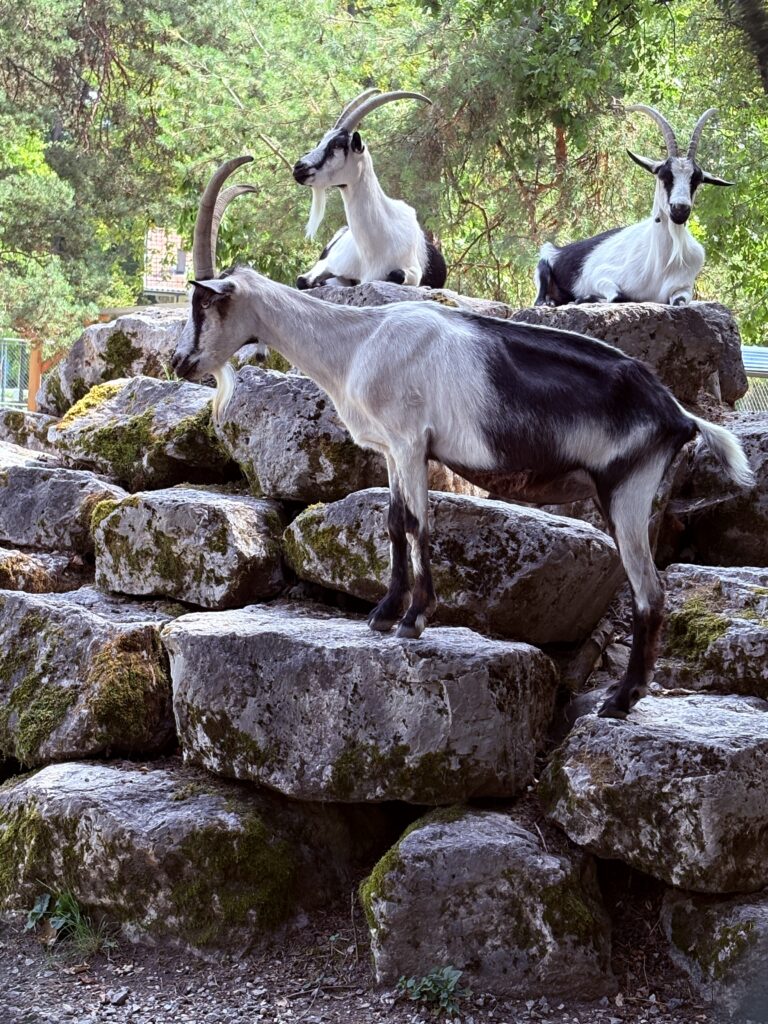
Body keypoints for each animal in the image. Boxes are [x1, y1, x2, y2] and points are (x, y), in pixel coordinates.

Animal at [171, 158, 753, 720]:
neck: (358, 341)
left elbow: (417, 523)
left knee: (650, 594)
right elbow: (392, 521)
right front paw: (383, 614)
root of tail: (677, 413)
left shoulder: (411, 442)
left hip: (627, 492)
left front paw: (414, 619)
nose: (179, 362)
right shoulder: (393, 451)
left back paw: (619, 701)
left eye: (204, 304)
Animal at [292, 88, 447, 290]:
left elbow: (396, 274)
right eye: (321, 142)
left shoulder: (412, 271)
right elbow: (302, 280)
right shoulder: (328, 263)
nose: (298, 168)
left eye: (338, 144)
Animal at [534, 106, 734, 307]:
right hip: (544, 260)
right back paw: (551, 302)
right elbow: (618, 295)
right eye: (663, 175)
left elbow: (679, 301)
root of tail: (559, 250)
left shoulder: (683, 289)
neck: (662, 265)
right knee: (539, 299)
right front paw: (583, 298)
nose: (680, 209)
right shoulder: (599, 275)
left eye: (697, 180)